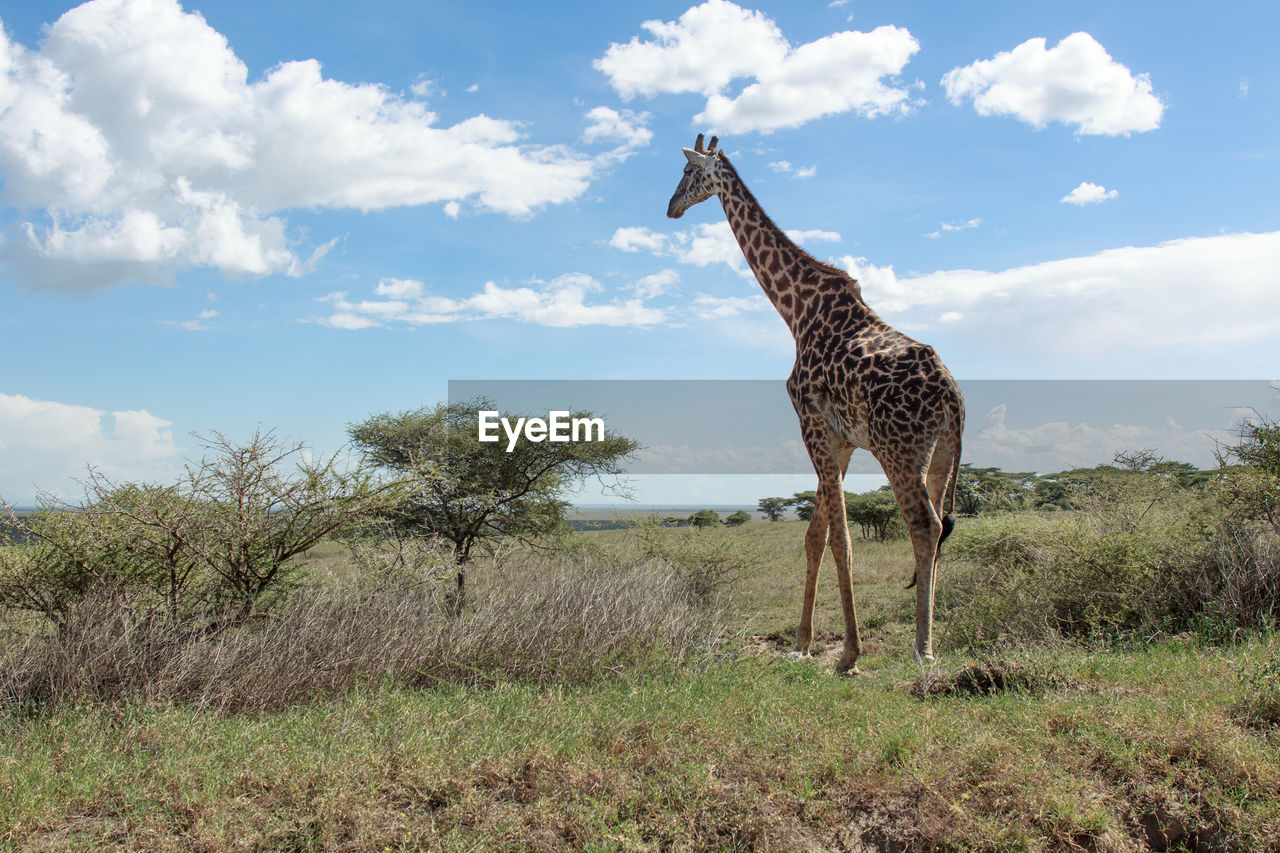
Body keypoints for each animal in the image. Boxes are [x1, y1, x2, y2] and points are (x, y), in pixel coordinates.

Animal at [670, 133, 962, 666]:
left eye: (686, 173)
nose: (670, 208)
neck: (796, 310)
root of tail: (954, 398)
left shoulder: (811, 424)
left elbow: (841, 538)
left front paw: (850, 652)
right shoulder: (840, 440)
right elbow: (815, 536)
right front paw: (803, 642)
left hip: (900, 450)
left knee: (924, 526)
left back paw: (923, 648)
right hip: (941, 456)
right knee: (939, 527)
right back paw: (927, 636)